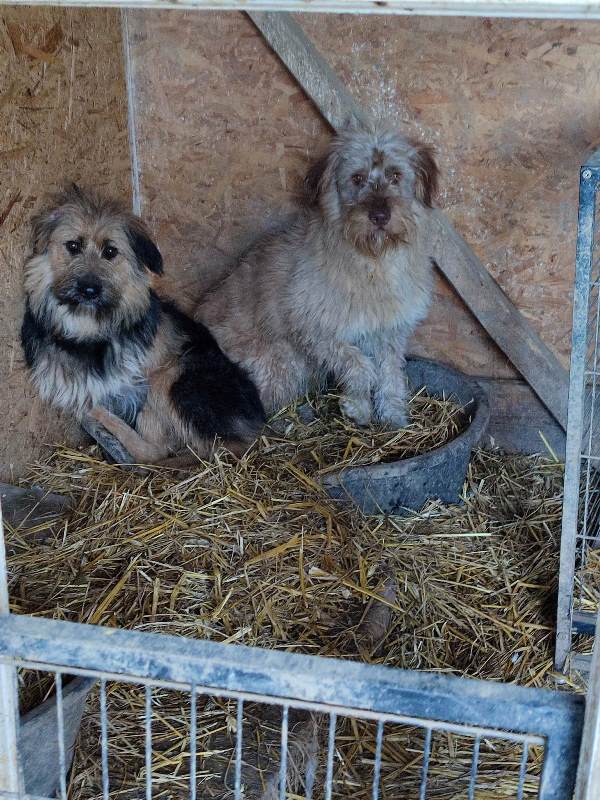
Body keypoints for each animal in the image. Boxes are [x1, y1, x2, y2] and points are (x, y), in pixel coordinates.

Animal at [21, 185, 264, 466]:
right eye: (73, 246)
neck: (89, 331)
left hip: (170, 376)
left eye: (110, 251)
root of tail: (259, 421)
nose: (89, 290)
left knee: (171, 449)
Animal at [199, 121, 438, 428]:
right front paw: (357, 408)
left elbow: (390, 375)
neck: (374, 261)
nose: (379, 215)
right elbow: (359, 365)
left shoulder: (390, 332)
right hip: (280, 361)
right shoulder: (314, 329)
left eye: (396, 175)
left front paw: (393, 417)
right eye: (357, 178)